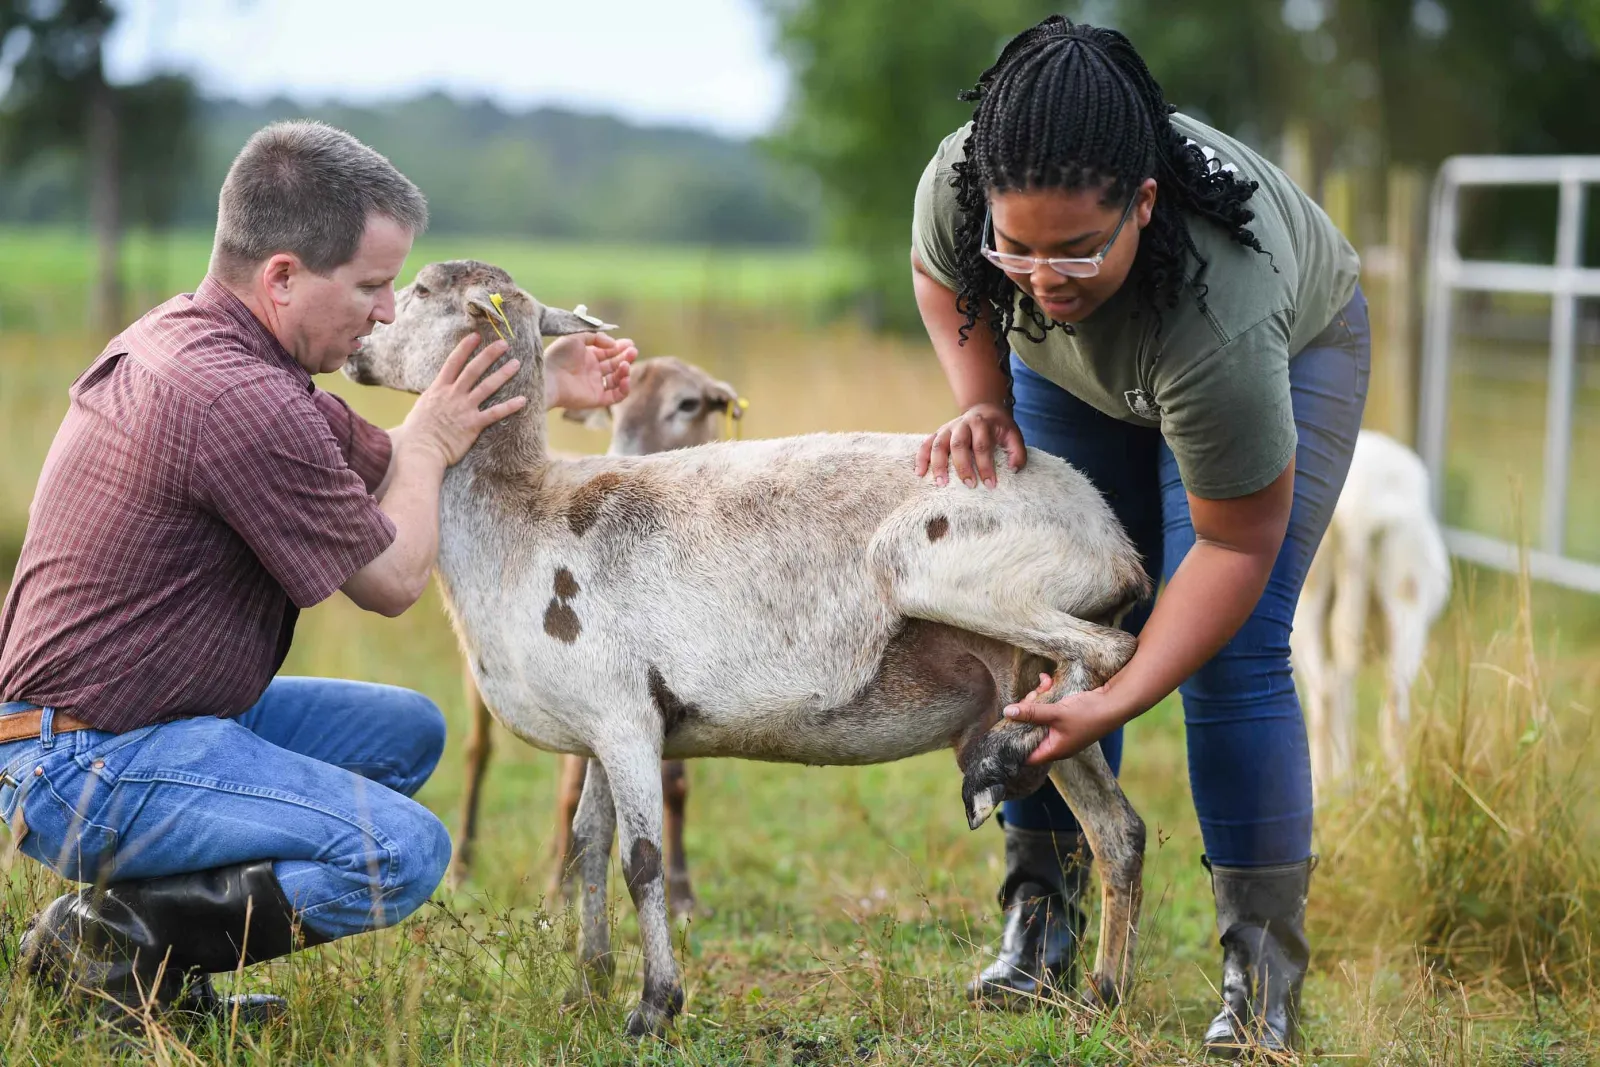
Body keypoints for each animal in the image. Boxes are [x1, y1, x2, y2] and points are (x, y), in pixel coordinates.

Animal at [451, 358, 748, 921]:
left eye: (689, 403)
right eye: (615, 407)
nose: (622, 456)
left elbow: (675, 785)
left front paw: (684, 897)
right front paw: (561, 892)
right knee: (479, 752)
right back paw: (464, 866)